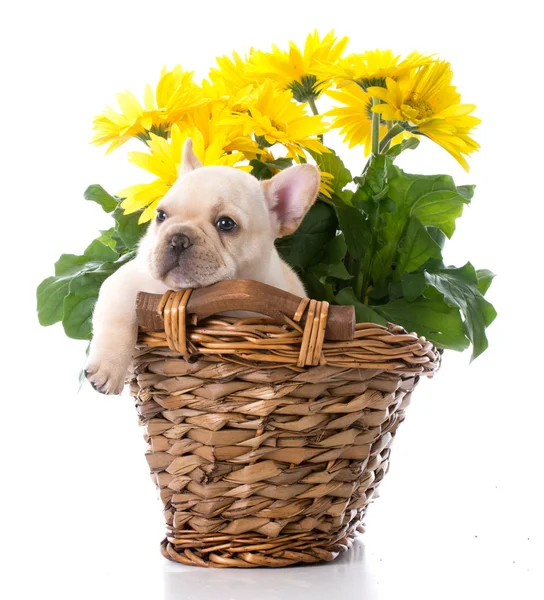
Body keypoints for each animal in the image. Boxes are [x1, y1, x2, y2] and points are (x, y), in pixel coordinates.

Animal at [85, 138, 320, 396]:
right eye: (161, 215)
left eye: (226, 224)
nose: (178, 238)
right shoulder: (124, 283)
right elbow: (118, 319)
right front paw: (108, 368)